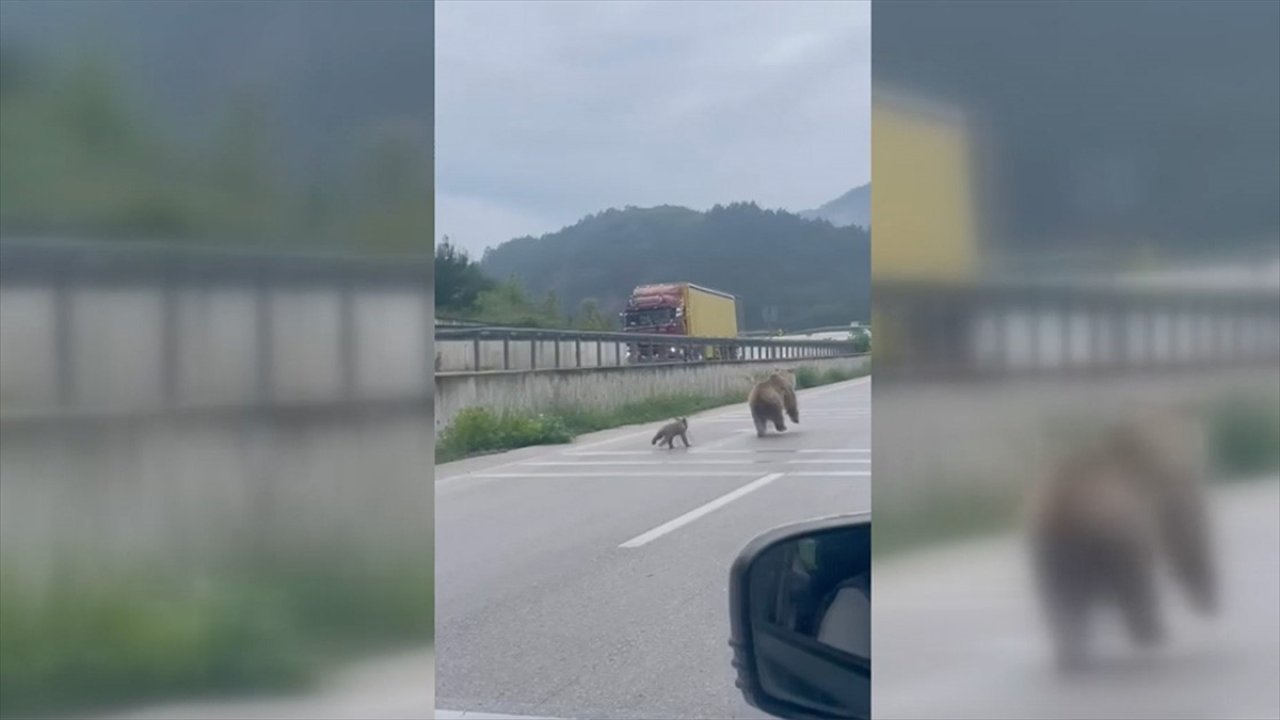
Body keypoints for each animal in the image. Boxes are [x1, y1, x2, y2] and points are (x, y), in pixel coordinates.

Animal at [1029, 412, 1218, 671]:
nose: (1210, 605)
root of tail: (1064, 508)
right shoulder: (1163, 498)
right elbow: (1183, 536)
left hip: (1052, 551)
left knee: (1061, 602)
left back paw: (1070, 656)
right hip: (1110, 534)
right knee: (1133, 581)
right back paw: (1150, 633)